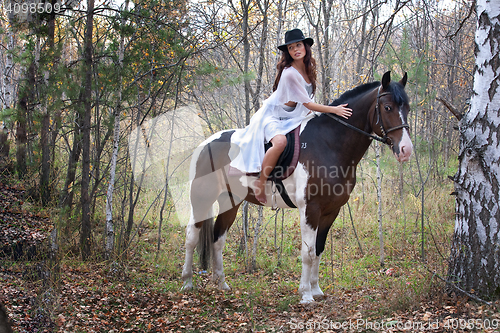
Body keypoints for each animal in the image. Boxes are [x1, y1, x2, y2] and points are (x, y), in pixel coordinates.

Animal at [182, 71, 412, 302]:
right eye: (388, 107)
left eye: (408, 108)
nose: (406, 149)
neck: (329, 145)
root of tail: (205, 144)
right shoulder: (310, 209)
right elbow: (307, 253)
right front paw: (306, 295)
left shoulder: (331, 211)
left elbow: (318, 249)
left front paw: (316, 290)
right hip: (202, 199)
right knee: (192, 237)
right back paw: (187, 283)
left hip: (230, 201)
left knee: (218, 239)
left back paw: (222, 284)